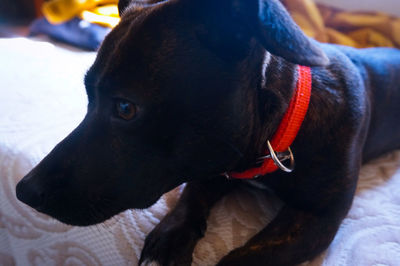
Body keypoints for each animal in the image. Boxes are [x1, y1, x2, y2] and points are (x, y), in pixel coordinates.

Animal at [15, 0, 400, 264]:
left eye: (125, 108)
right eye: (87, 97)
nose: (23, 191)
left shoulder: (316, 218)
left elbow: (245, 257)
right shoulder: (212, 160)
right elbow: (191, 196)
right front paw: (169, 238)